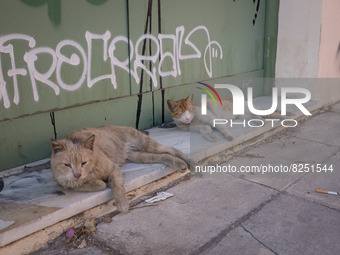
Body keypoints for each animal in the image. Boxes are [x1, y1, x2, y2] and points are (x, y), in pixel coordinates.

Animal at [51, 125, 193, 213]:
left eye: (83, 163)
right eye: (67, 165)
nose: (77, 174)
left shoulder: (113, 169)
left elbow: (117, 186)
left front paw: (123, 205)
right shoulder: (65, 183)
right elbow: (95, 185)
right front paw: (96, 182)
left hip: (148, 144)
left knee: (172, 149)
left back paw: (188, 161)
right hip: (140, 156)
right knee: (164, 156)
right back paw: (179, 163)